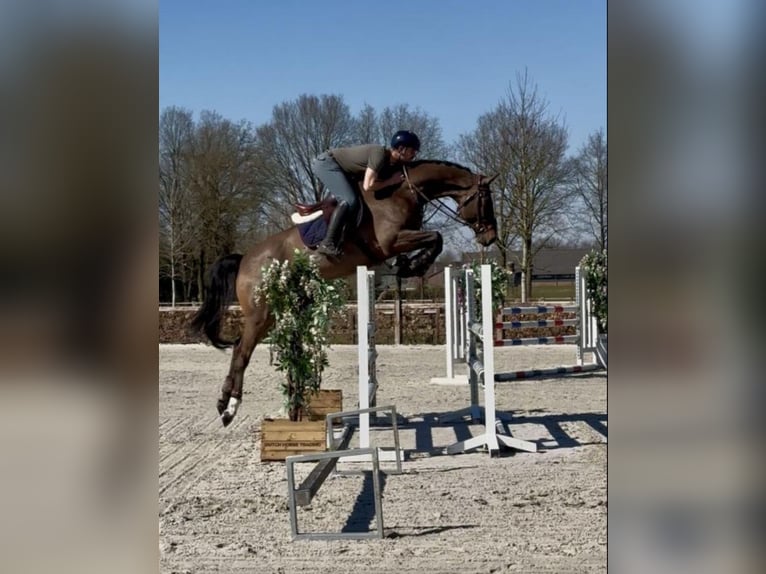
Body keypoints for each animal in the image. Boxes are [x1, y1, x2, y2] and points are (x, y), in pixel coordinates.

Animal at [191, 160, 499, 426]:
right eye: (486, 200)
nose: (490, 237)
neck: (402, 192)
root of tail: (244, 259)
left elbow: (435, 239)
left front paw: (409, 264)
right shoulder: (390, 241)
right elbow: (436, 237)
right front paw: (413, 265)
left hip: (280, 310)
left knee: (241, 349)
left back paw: (232, 404)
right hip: (261, 313)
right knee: (242, 350)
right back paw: (229, 407)